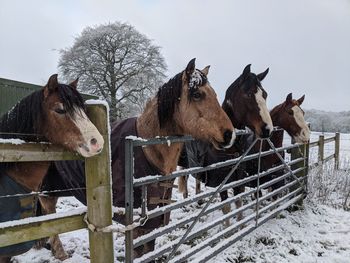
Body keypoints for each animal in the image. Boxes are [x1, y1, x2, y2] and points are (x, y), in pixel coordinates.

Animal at [36, 59, 235, 260]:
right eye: (197, 94)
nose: (229, 135)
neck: (147, 149)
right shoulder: (137, 226)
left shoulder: (154, 219)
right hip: (46, 193)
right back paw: (60, 253)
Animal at [178, 65, 274, 224]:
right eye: (248, 94)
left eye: (265, 94)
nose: (267, 129)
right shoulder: (221, 182)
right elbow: (227, 208)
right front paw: (227, 227)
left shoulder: (237, 179)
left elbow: (239, 202)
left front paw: (240, 225)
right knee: (183, 180)